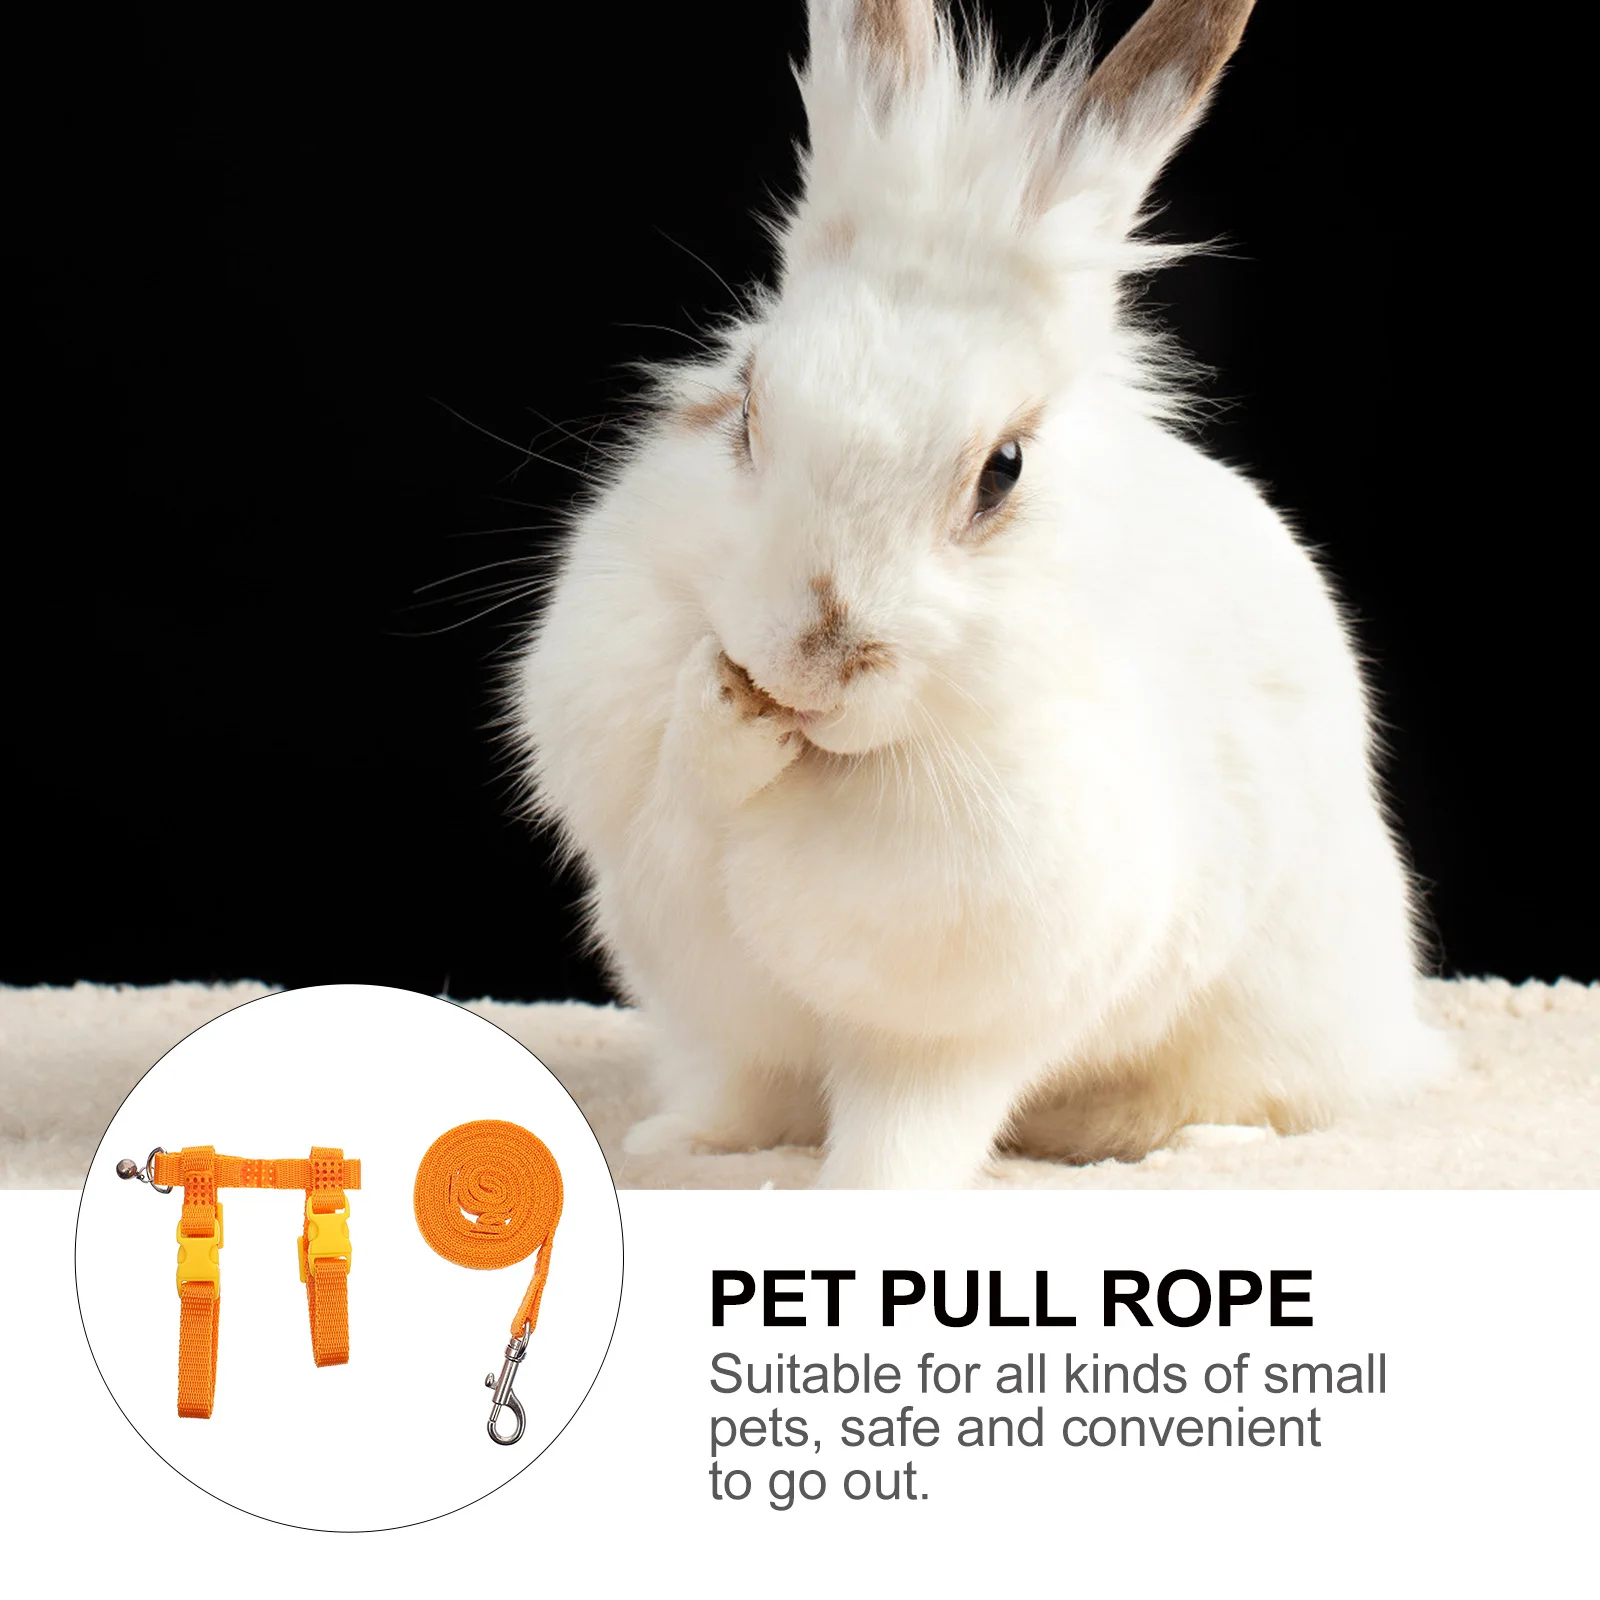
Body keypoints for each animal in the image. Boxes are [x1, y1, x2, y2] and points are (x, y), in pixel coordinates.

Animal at [509, 0, 1454, 1189]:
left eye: (1001, 470)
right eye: (746, 409)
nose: (804, 661)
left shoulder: (953, 1011)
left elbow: (903, 1113)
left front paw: (861, 1191)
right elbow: (680, 788)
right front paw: (729, 713)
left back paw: (1180, 1141)